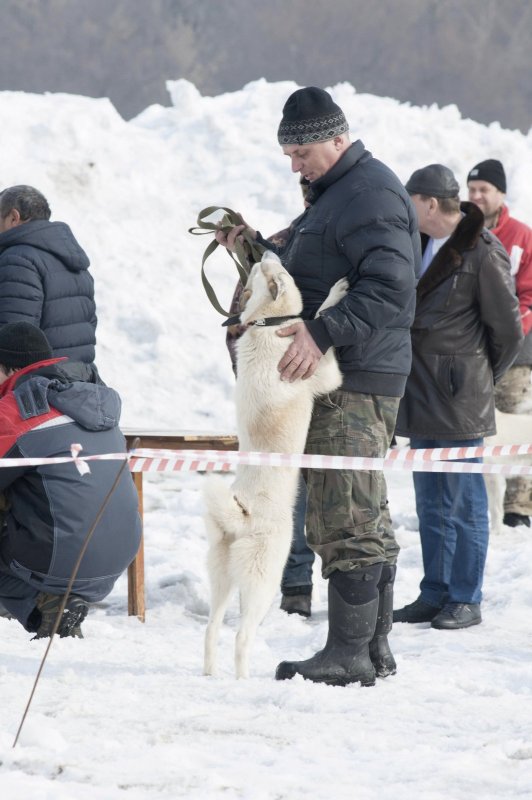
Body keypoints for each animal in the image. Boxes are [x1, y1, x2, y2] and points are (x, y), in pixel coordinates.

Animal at [204, 253, 344, 680]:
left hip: (220, 575)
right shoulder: (325, 374)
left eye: (255, 271)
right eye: (269, 271)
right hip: (264, 579)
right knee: (241, 636)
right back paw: (243, 680)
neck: (266, 323)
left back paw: (209, 674)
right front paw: (337, 292)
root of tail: (241, 516)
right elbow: (322, 322)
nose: (265, 253)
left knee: (211, 628)